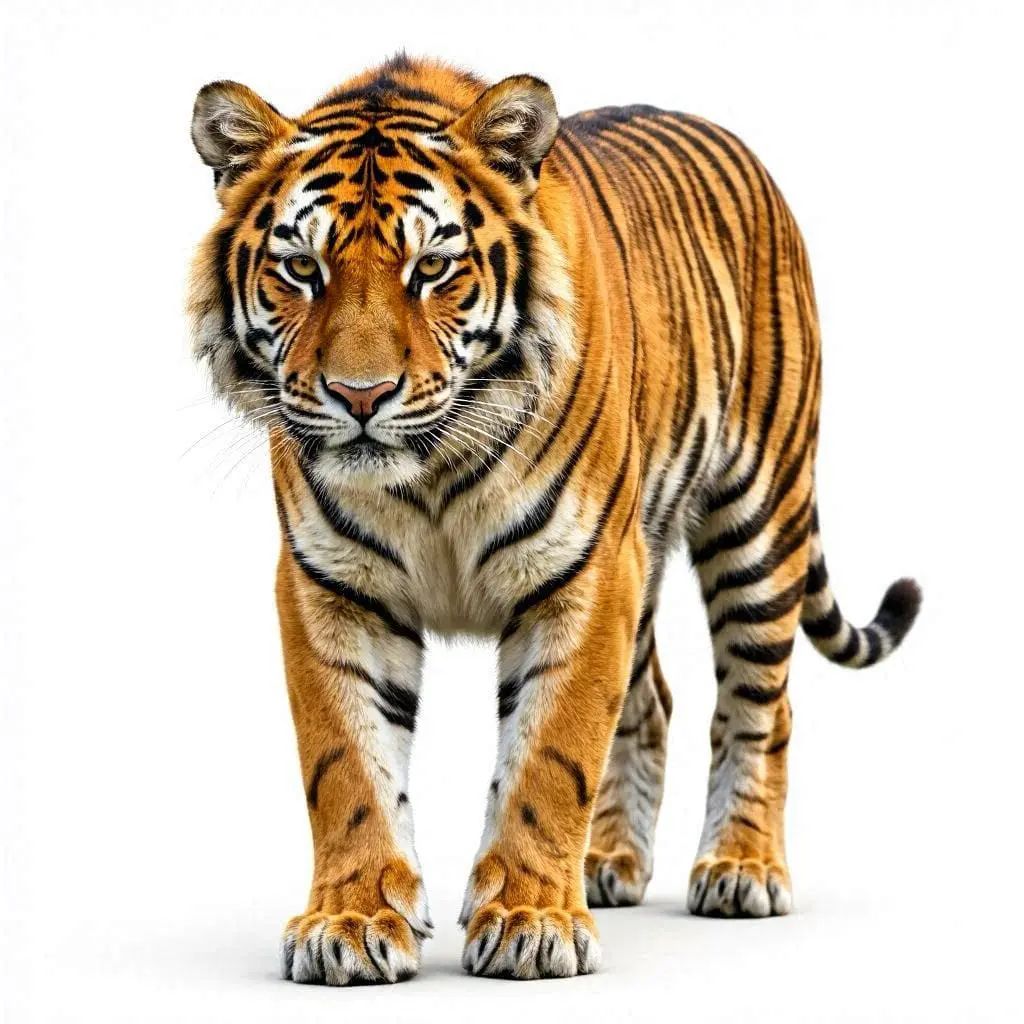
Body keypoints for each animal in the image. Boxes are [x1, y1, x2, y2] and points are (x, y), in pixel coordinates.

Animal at [187, 53, 921, 984]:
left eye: (432, 269)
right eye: (302, 270)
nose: (361, 396)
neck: (429, 475)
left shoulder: (585, 572)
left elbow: (551, 756)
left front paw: (532, 922)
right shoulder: (331, 585)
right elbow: (346, 765)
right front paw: (350, 923)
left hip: (758, 518)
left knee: (760, 704)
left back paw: (742, 867)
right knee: (652, 701)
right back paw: (610, 863)